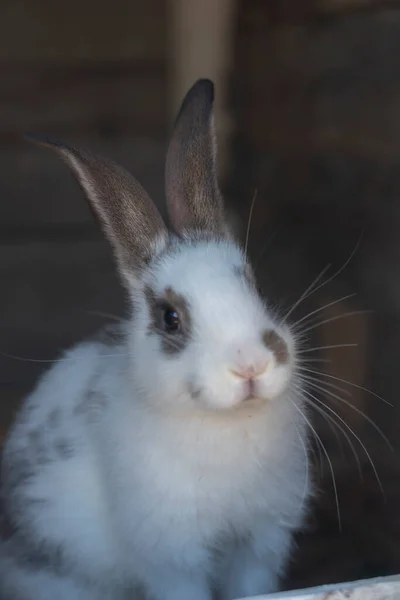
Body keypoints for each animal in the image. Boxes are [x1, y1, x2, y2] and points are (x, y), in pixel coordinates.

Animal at [0, 81, 310, 600]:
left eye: (253, 284)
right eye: (170, 319)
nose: (251, 366)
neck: (227, 423)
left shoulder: (260, 541)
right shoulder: (172, 557)